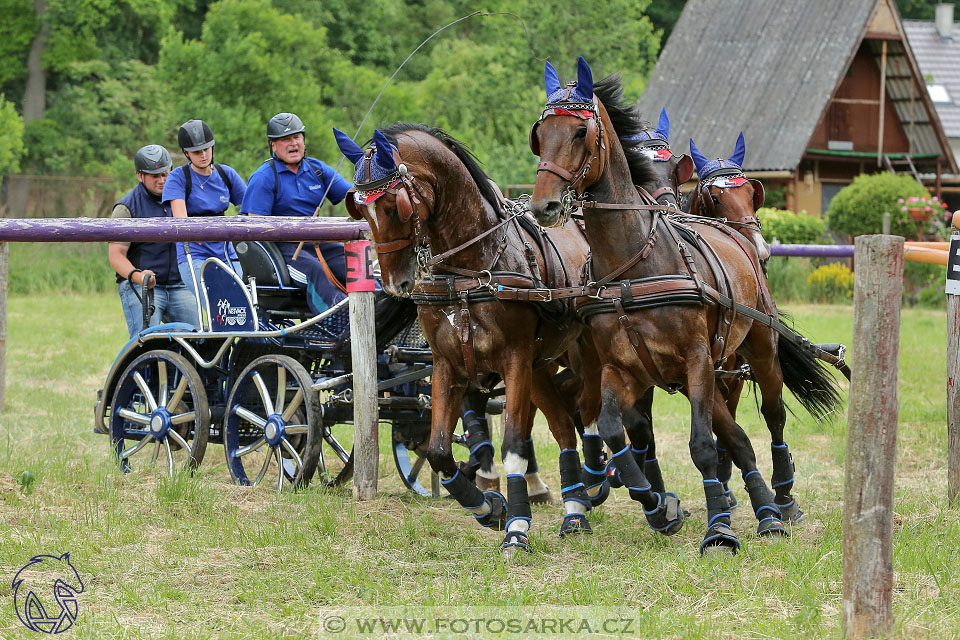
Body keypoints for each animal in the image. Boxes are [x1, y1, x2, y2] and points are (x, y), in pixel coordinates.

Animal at [334, 126, 688, 556]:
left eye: (394, 205)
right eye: (361, 209)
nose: (394, 282)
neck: (472, 268)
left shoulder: (515, 360)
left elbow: (515, 446)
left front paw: (517, 527)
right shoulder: (448, 365)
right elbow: (438, 450)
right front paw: (487, 506)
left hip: (586, 358)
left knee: (594, 418)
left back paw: (611, 488)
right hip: (542, 367)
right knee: (564, 426)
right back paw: (576, 509)